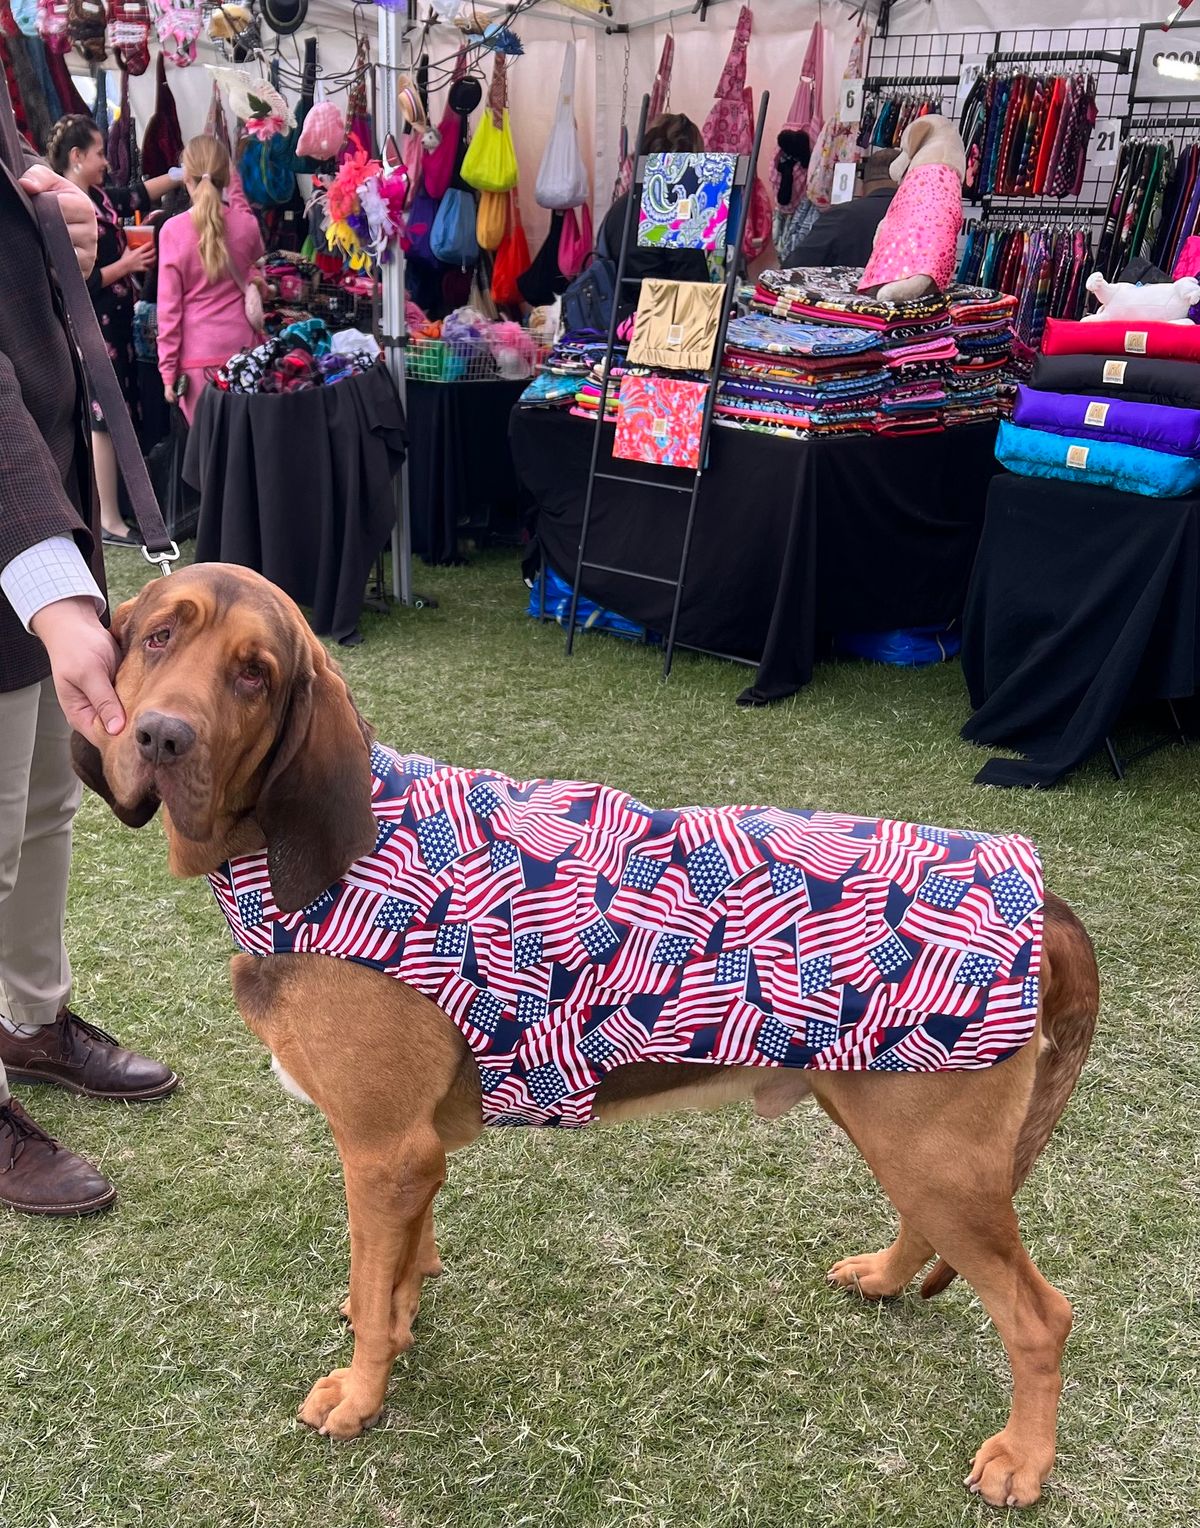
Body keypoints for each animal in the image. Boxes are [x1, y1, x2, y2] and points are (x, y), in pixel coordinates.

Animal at [72, 565, 1094, 1515]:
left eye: (255, 674)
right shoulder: (412, 1156)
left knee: (1041, 1316)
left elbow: (371, 1293)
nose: (160, 737)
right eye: (158, 636)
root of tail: (1043, 895)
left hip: (934, 1154)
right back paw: (883, 1278)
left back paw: (1023, 1458)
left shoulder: (380, 1149)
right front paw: (400, 1319)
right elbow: (395, 1274)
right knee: (932, 1233)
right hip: (903, 1132)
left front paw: (360, 1395)